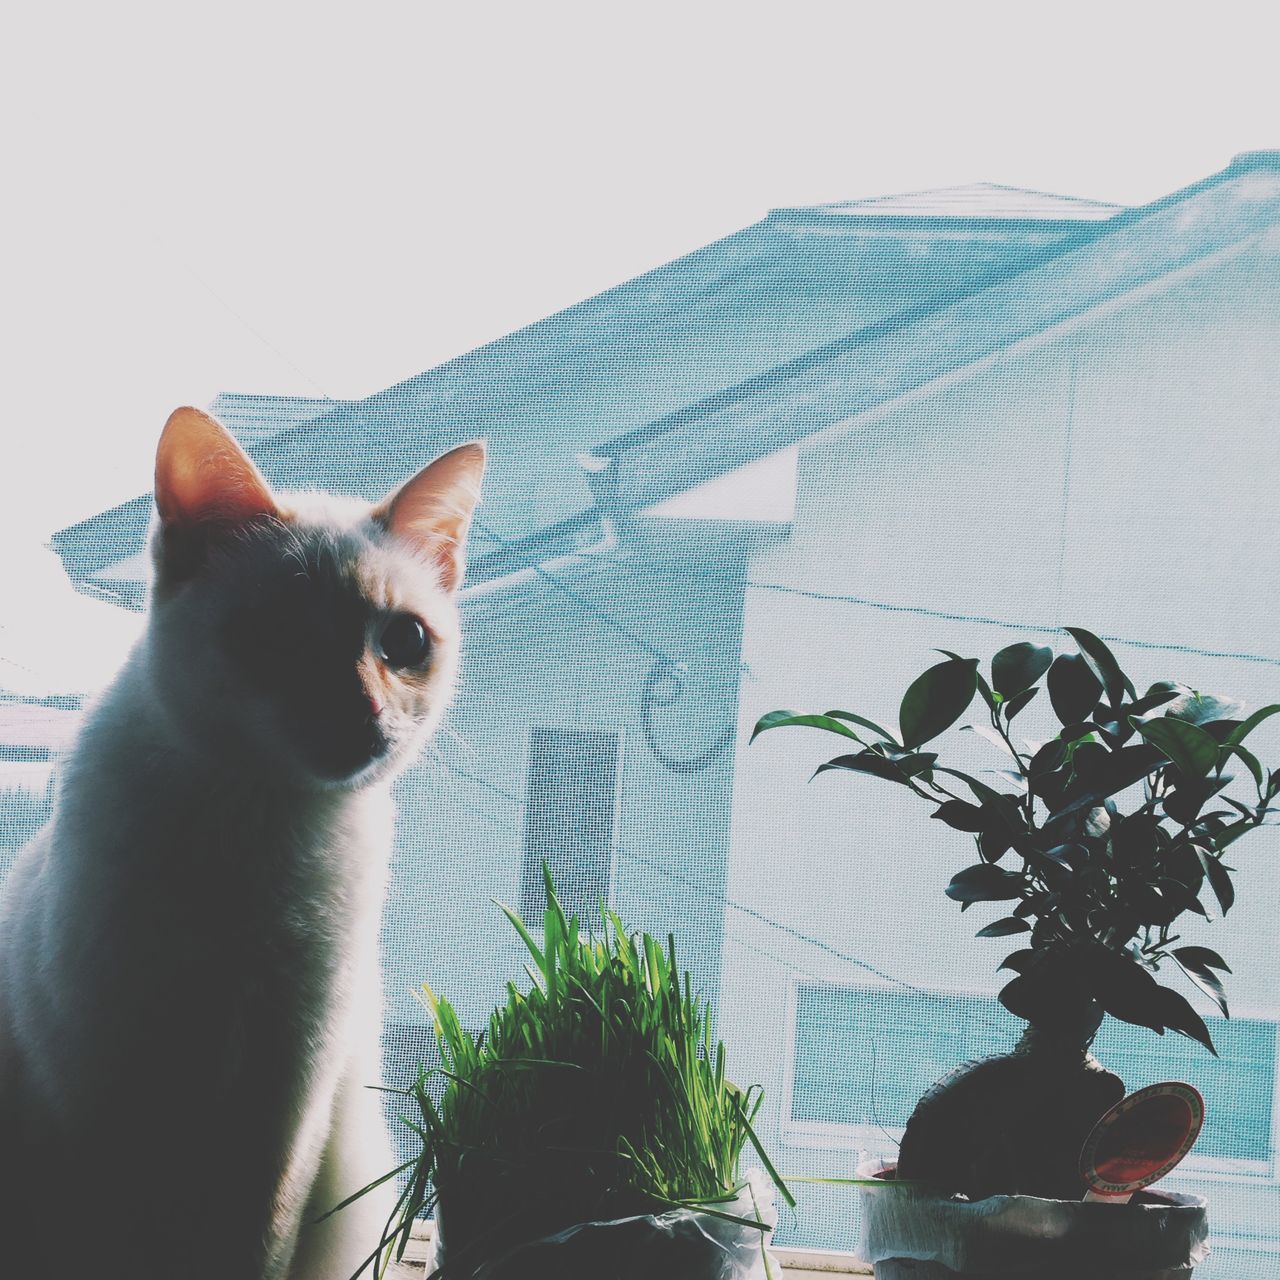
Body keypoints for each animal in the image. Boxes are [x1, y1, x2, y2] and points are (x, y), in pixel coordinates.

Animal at [0, 409, 486, 1280]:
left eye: (404, 641)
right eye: (282, 635)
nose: (364, 712)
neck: (259, 826)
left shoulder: (284, 1093)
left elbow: (256, 1239)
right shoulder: (103, 1090)